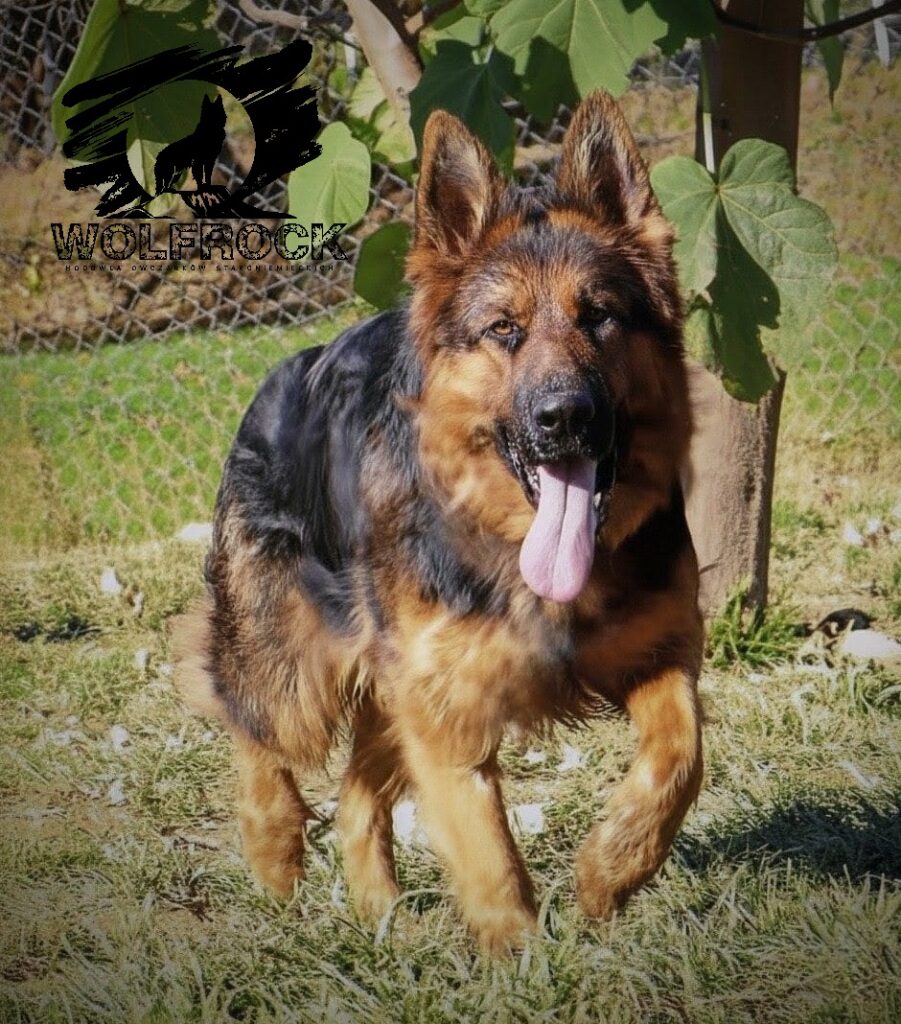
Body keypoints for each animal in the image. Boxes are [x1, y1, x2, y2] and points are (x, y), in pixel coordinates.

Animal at [173, 91, 703, 955]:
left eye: (600, 317)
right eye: (503, 330)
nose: (564, 418)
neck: (510, 542)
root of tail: (285, 370)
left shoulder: (660, 656)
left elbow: (677, 760)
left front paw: (609, 869)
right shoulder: (447, 719)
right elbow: (487, 854)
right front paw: (522, 961)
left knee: (357, 799)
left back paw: (379, 920)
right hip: (292, 671)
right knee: (255, 730)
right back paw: (274, 849)